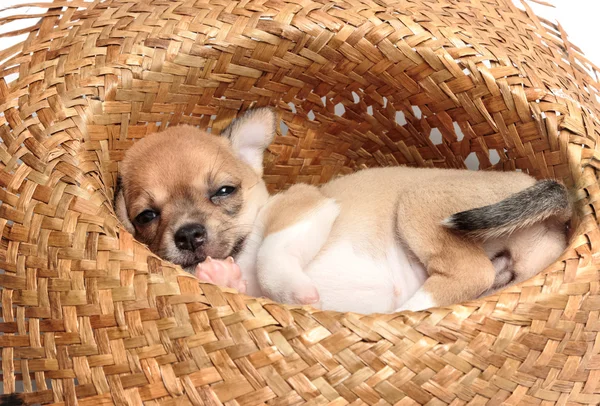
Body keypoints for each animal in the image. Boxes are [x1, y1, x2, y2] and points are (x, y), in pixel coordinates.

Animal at [116, 106, 572, 312]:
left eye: (224, 191)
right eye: (146, 216)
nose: (189, 235)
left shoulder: (307, 209)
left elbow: (271, 253)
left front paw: (296, 291)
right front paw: (222, 276)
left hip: (416, 204)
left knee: (467, 274)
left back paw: (406, 310)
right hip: (519, 267)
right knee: (488, 276)